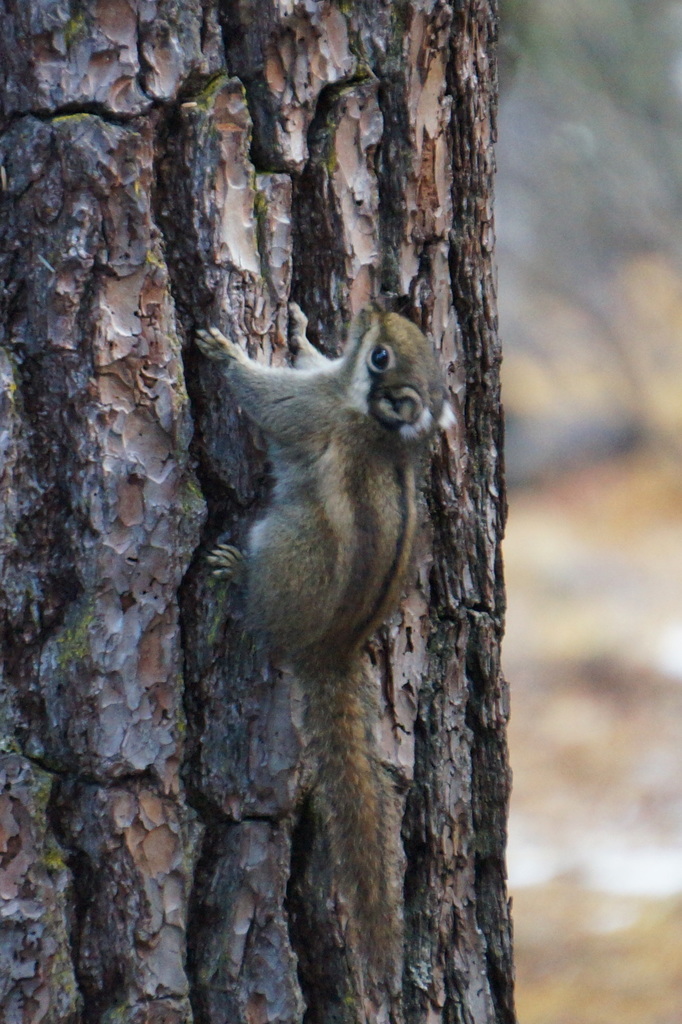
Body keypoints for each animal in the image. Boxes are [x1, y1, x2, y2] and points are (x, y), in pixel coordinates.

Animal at [196, 302, 453, 976]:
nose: (375, 305)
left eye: (382, 357)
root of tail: (331, 648)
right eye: (397, 334)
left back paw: (237, 572)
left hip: (286, 548)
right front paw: (302, 328)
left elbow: (264, 398)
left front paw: (226, 351)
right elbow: (308, 358)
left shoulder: (308, 409)